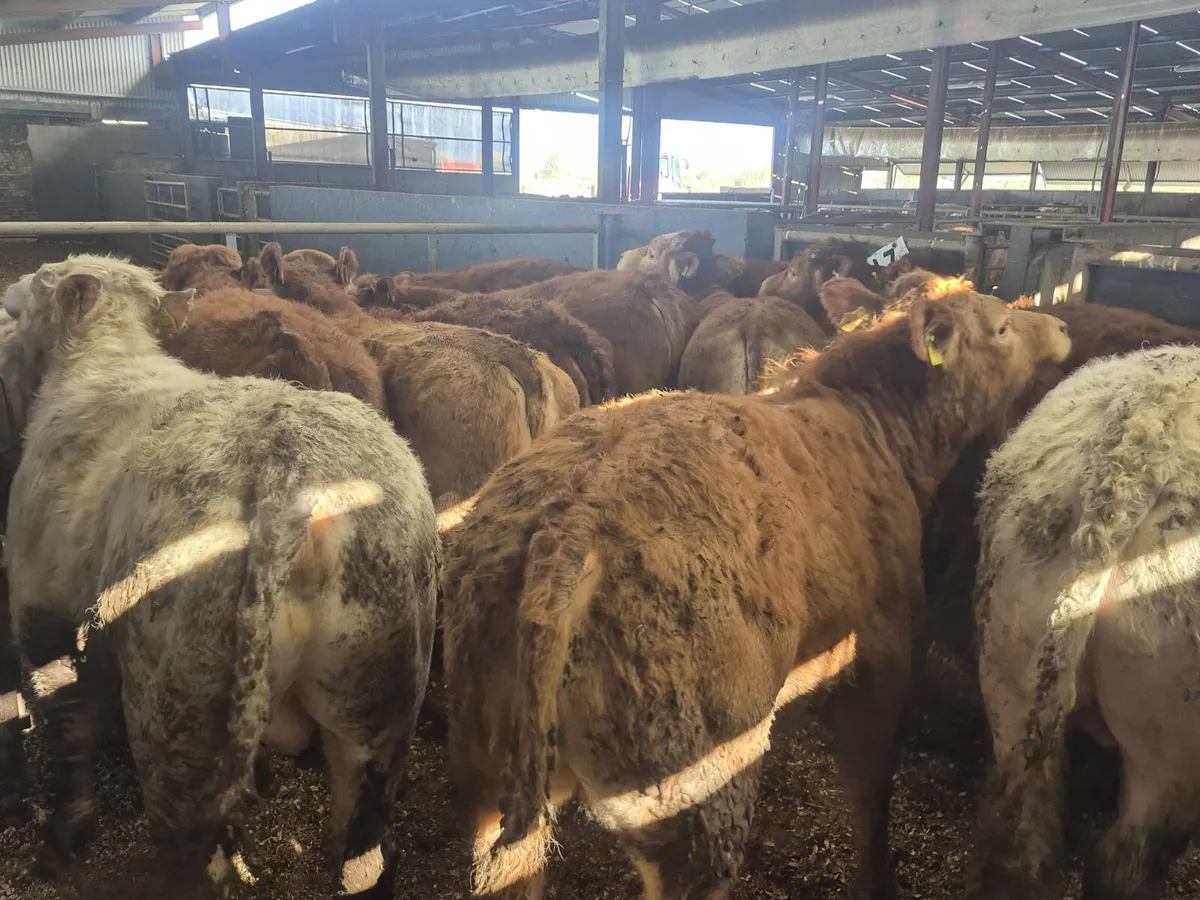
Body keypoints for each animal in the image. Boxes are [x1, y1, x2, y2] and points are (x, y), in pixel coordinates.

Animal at [1, 253, 439, 898]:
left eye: (30, 294)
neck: (105, 359)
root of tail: (288, 469)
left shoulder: (44, 614)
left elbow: (69, 731)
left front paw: (60, 845)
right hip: (376, 697)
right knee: (363, 844)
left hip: (179, 711)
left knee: (194, 849)